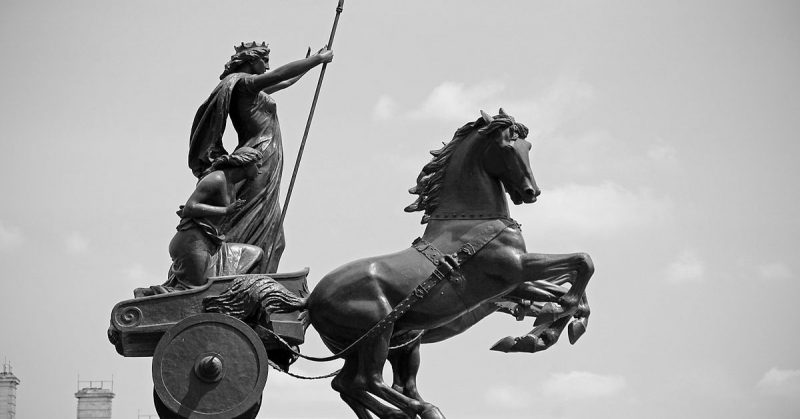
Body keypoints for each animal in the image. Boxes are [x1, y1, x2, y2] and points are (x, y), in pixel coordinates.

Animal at [304, 110, 592, 419]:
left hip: (360, 346)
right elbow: (583, 262)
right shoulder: (516, 267)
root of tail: (310, 301)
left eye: (528, 147)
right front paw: (550, 321)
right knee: (367, 381)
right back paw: (421, 409)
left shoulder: (512, 284)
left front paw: (543, 330)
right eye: (506, 147)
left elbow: (567, 289)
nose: (531, 192)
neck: (470, 221)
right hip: (378, 335)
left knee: (346, 383)